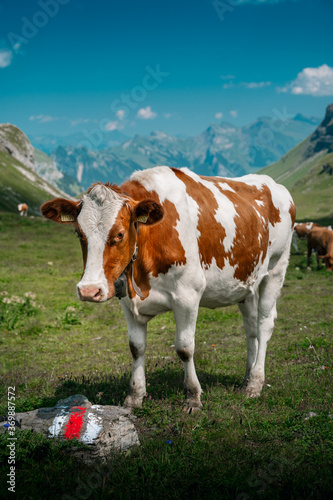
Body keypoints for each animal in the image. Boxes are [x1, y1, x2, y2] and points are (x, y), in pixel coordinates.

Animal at [40, 166, 294, 408]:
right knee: (250, 327)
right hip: (246, 282)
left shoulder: (188, 294)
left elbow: (184, 347)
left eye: (119, 234)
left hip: (276, 268)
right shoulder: (126, 300)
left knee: (264, 324)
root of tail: (274, 185)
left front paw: (192, 397)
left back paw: (255, 384)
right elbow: (136, 347)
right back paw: (246, 378)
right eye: (79, 233)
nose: (89, 290)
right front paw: (135, 397)